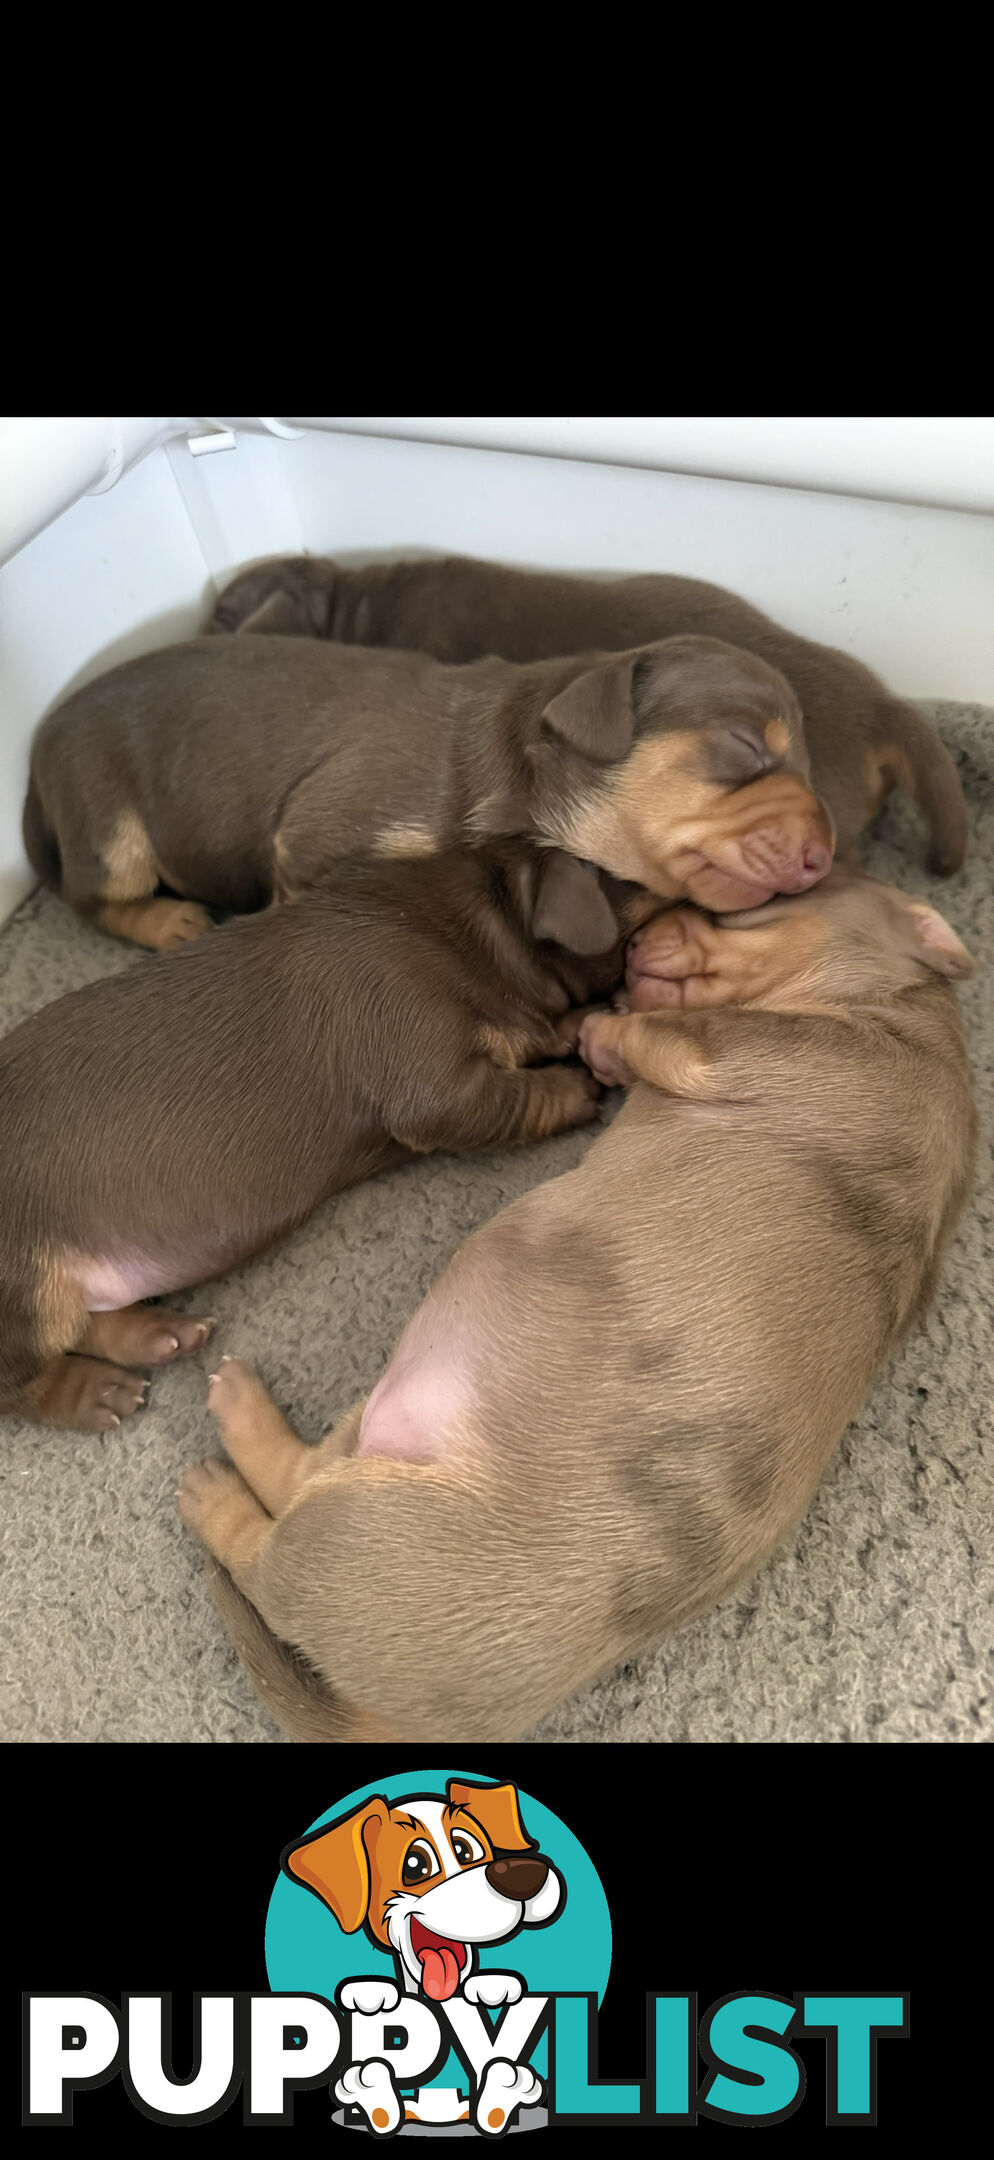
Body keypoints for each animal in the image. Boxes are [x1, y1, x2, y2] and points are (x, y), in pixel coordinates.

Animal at [0, 842, 652, 1434]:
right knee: (22, 1385)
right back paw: (107, 1394)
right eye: (635, 889)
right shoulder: (430, 1081)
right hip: (23, 1285)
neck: (468, 930)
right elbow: (511, 1097)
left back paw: (170, 1334)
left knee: (91, 1322)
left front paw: (584, 1028)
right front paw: (579, 1086)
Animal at [21, 630, 829, 954]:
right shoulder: (313, 838)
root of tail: (36, 752)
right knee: (93, 895)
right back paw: (171, 921)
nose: (825, 855)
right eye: (747, 746)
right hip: (108, 823)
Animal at [175, 868, 976, 1745]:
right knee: (299, 1478)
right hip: (367, 1441)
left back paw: (216, 1476)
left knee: (266, 1544)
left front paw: (601, 1030)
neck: (895, 1002)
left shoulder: (727, 1047)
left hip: (345, 1525)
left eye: (749, 903)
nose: (629, 944)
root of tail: (393, 1719)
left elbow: (653, 1029)